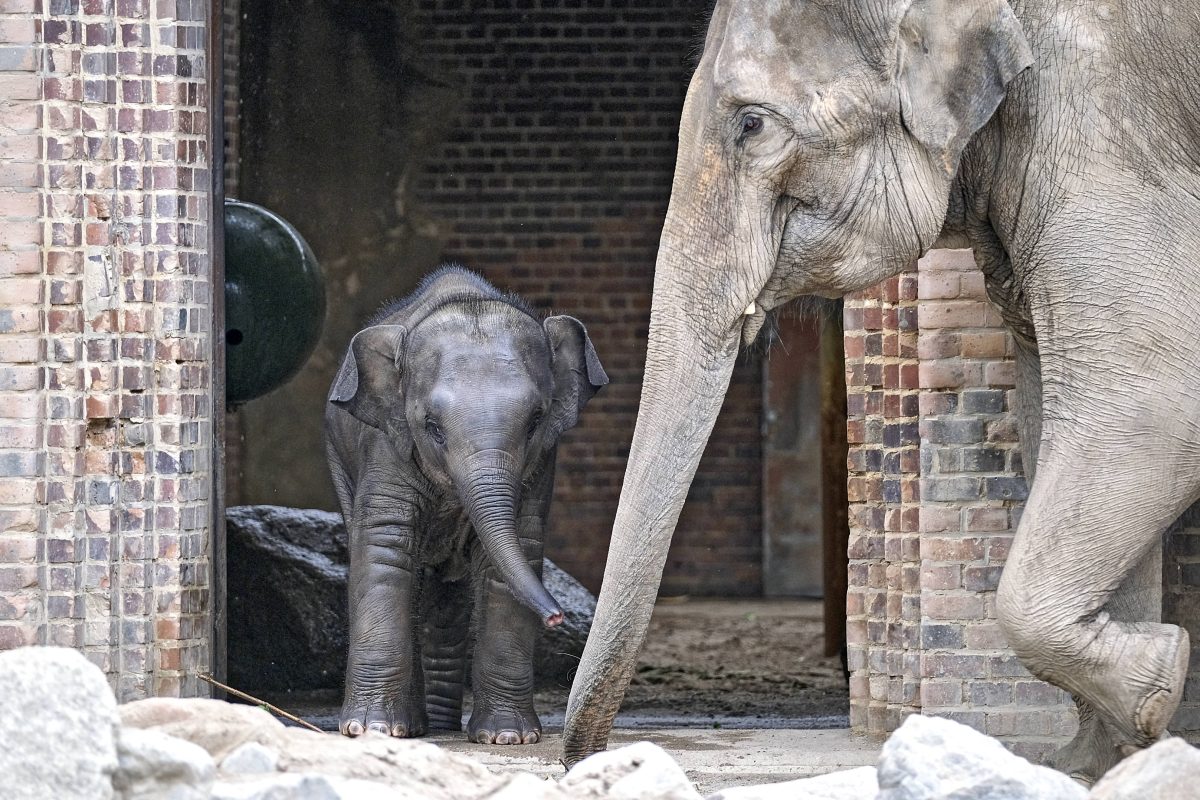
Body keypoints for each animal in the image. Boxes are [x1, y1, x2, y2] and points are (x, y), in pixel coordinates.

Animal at [326, 267, 609, 743]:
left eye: (535, 421)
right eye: (432, 427)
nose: (556, 617)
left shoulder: (542, 463)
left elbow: (516, 551)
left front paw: (508, 737)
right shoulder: (385, 444)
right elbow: (384, 549)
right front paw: (370, 730)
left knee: (447, 602)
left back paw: (438, 726)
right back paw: (413, 727)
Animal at [566, 0, 1200, 782]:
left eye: (752, 125)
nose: (583, 757)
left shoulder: (1106, 119)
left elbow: (1151, 398)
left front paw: (1159, 678)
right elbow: (1058, 412)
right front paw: (1095, 759)